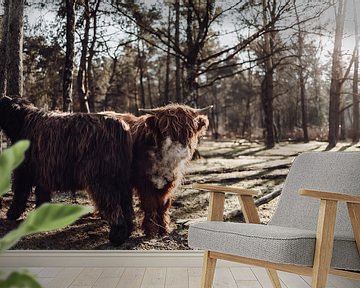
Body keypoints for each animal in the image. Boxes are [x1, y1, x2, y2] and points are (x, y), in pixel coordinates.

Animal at [0, 96, 134, 243]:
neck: (23, 121)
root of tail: (119, 125)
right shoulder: (43, 173)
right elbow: (41, 195)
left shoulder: (24, 171)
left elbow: (19, 194)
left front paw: (12, 214)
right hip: (122, 179)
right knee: (127, 205)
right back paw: (128, 231)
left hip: (101, 179)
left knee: (113, 205)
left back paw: (117, 235)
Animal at [104, 104, 211, 235]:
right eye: (166, 132)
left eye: (189, 132)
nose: (181, 150)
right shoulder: (144, 181)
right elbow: (150, 204)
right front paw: (151, 230)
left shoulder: (171, 181)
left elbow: (164, 205)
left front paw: (164, 228)